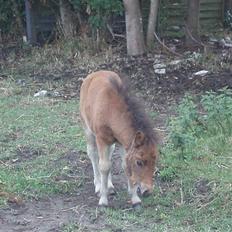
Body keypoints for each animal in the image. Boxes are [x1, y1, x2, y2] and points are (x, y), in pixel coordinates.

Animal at [79, 69, 158, 207]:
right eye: (139, 162)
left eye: (155, 159)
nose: (147, 191)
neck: (111, 110)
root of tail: (92, 75)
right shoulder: (101, 139)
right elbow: (104, 166)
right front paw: (103, 200)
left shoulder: (123, 142)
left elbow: (125, 165)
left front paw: (135, 199)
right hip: (88, 130)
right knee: (93, 155)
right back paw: (98, 186)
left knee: (108, 156)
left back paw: (110, 186)